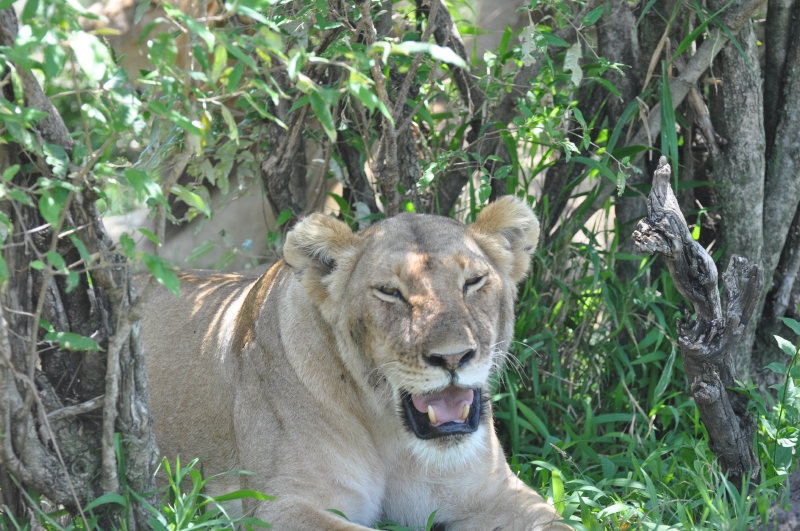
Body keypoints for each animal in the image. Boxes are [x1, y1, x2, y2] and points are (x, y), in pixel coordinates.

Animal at [141, 196, 571, 530]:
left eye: (473, 282)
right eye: (389, 292)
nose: (452, 356)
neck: (390, 433)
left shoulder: (495, 490)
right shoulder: (279, 507)